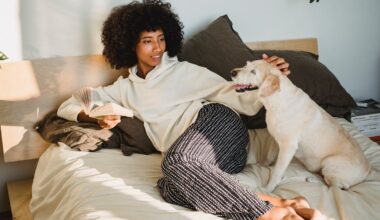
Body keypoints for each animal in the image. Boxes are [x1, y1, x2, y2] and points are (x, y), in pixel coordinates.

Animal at [232, 59, 372, 191]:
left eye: (253, 72)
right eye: (246, 65)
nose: (232, 72)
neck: (276, 101)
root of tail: (367, 171)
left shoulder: (288, 147)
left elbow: (277, 171)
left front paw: (268, 189)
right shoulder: (275, 139)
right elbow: (270, 156)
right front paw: (263, 165)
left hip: (329, 164)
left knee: (336, 187)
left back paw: (313, 180)